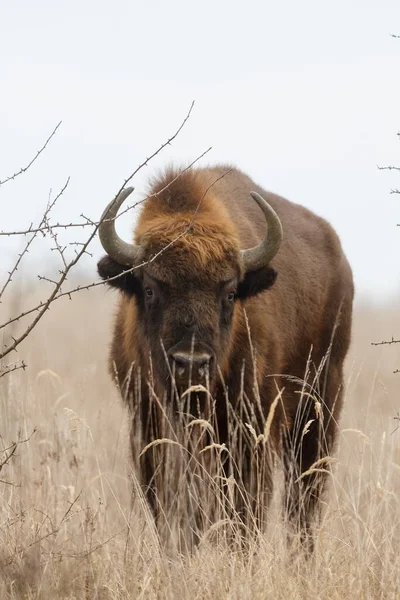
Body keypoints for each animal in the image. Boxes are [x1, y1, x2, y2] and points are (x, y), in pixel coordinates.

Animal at [97, 165, 354, 548]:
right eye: (150, 288)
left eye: (230, 293)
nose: (191, 363)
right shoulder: (146, 428)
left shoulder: (251, 429)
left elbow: (245, 511)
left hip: (320, 407)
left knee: (303, 502)